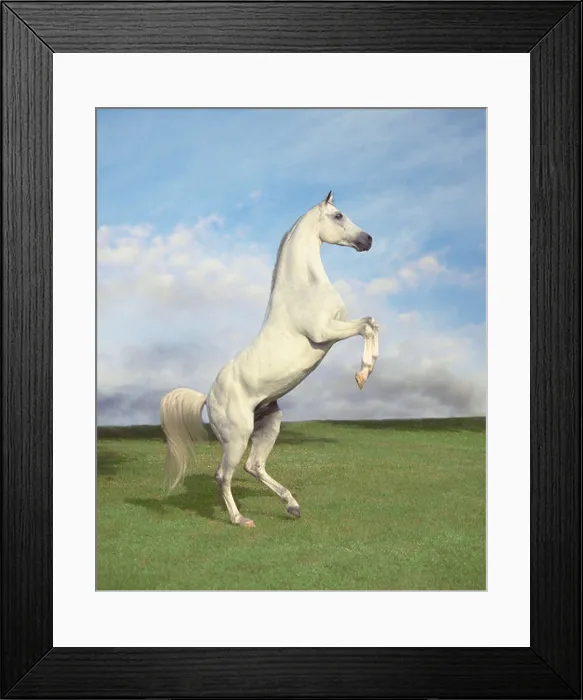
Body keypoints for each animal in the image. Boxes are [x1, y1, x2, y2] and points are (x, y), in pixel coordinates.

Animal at [160, 191, 379, 527]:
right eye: (339, 215)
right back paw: (241, 520)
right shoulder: (326, 332)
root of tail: (206, 398)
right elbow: (367, 326)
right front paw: (363, 374)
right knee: (223, 475)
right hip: (237, 437)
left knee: (254, 466)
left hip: (269, 425)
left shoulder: (336, 328)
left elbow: (372, 323)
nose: (367, 239)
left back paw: (292, 506)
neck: (303, 288)